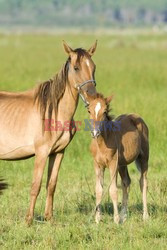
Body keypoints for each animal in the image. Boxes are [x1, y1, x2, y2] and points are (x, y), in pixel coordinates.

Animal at [87, 93, 149, 224]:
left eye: (105, 111)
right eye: (89, 110)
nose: (95, 132)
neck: (102, 143)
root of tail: (136, 116)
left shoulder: (113, 164)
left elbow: (113, 190)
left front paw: (115, 220)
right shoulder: (98, 165)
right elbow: (99, 190)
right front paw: (97, 219)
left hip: (143, 157)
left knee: (143, 182)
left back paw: (145, 216)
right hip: (122, 164)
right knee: (126, 182)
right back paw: (123, 215)